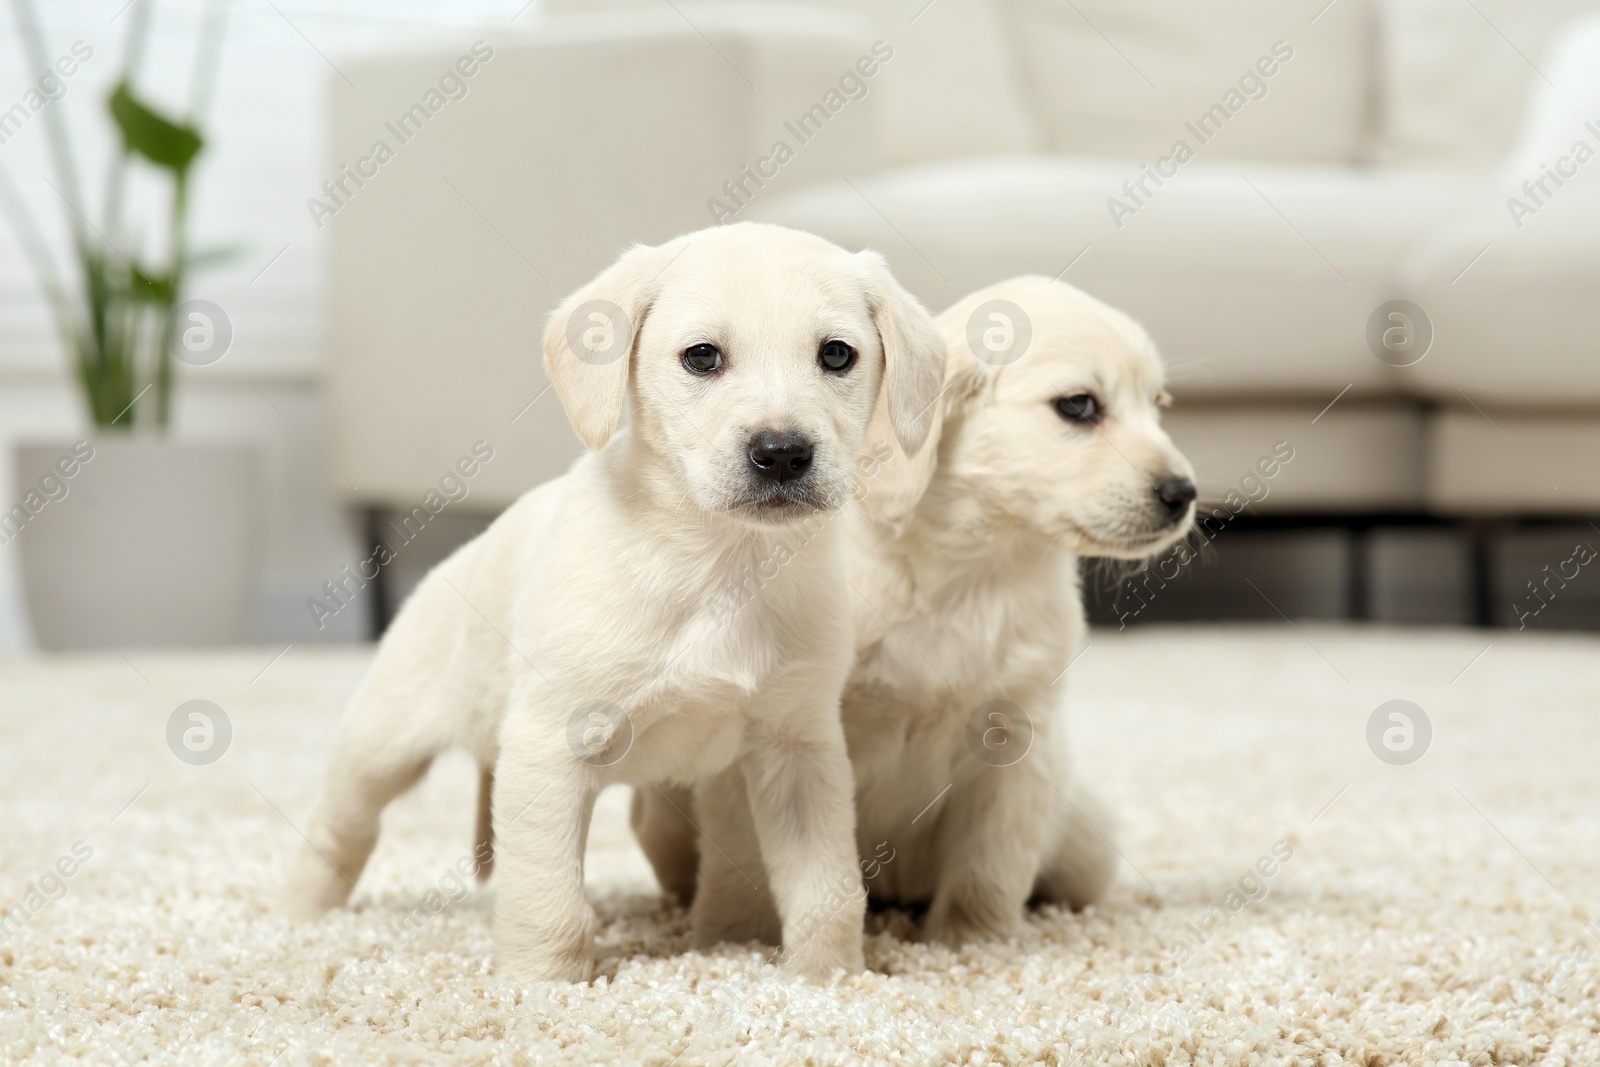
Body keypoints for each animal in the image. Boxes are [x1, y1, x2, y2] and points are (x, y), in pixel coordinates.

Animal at [280, 220, 940, 979]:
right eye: (702, 357)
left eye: (836, 354)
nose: (781, 452)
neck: (718, 565)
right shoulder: (550, 745)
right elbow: (550, 903)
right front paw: (541, 983)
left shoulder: (800, 750)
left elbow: (827, 892)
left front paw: (829, 979)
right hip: (380, 746)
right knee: (339, 828)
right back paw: (301, 919)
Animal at [630, 278, 1196, 953]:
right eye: (1079, 406)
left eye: (1158, 404)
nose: (1183, 494)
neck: (968, 571)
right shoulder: (775, 726)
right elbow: (744, 859)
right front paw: (731, 944)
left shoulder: (1018, 736)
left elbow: (989, 869)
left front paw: (971, 945)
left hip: (1086, 847)